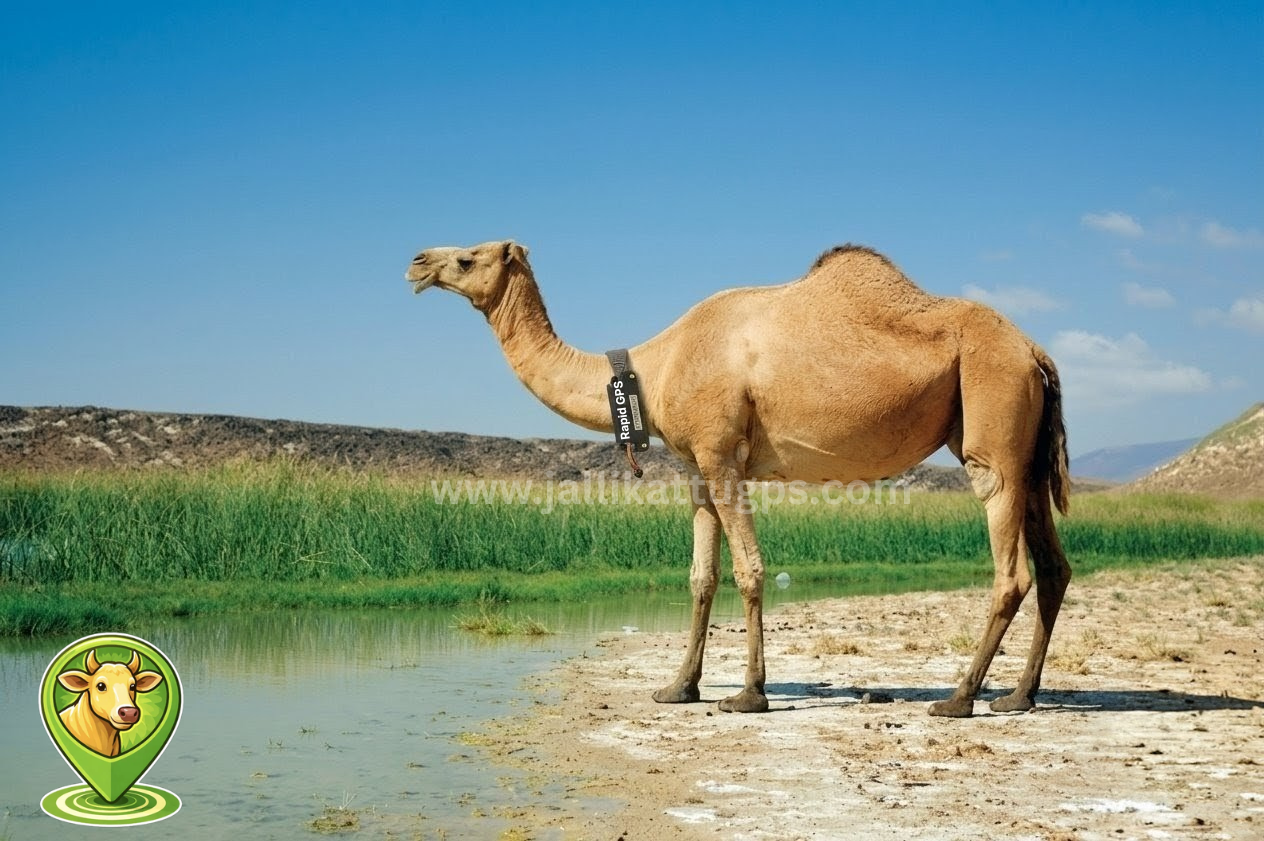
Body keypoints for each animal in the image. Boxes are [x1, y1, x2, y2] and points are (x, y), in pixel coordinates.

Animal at [404, 240, 1071, 717]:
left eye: (467, 256)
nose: (416, 262)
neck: (654, 369)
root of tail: (1037, 352)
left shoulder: (723, 455)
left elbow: (749, 570)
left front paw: (749, 694)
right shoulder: (697, 469)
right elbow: (701, 577)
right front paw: (679, 687)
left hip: (993, 418)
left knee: (1010, 568)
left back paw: (959, 699)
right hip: (1028, 449)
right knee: (1054, 566)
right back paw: (1019, 696)